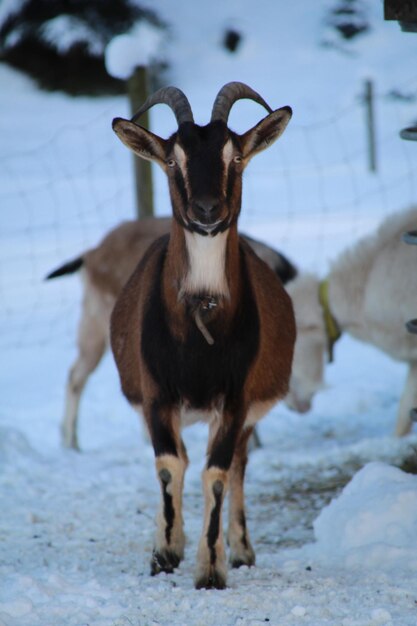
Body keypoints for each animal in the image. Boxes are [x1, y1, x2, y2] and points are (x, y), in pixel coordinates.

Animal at [109, 81, 294, 584]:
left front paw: (211, 568)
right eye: (173, 160)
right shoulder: (155, 394)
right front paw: (165, 551)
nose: (207, 210)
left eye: (236, 156)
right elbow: (170, 465)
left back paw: (242, 548)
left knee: (238, 466)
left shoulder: (235, 399)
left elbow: (217, 473)